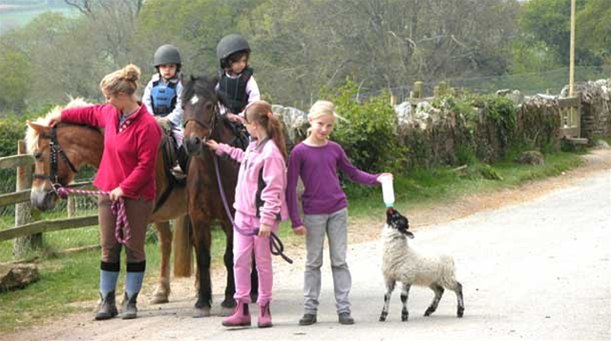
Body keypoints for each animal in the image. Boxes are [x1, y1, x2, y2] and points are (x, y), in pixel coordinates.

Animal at [182, 74, 258, 316]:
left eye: (209, 105)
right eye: (183, 106)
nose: (192, 142)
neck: (212, 171)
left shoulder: (231, 217)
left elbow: (230, 256)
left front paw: (229, 299)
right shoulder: (199, 218)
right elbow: (203, 257)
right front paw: (202, 301)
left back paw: (253, 290)